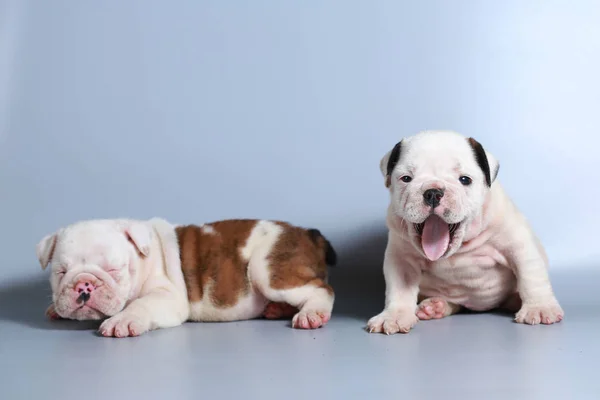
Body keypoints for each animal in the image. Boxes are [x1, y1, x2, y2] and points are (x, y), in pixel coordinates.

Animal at [36, 217, 338, 336]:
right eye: (61, 272)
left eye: (114, 270)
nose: (84, 284)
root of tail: (307, 234)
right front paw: (53, 308)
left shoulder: (167, 297)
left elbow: (141, 304)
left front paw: (122, 320)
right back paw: (275, 310)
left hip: (267, 271)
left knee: (322, 290)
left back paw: (311, 314)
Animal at [368, 130, 564, 334]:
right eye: (406, 178)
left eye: (465, 180)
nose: (433, 192)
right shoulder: (401, 259)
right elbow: (400, 288)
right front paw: (394, 315)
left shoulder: (518, 246)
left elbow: (530, 276)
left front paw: (539, 307)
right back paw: (435, 307)